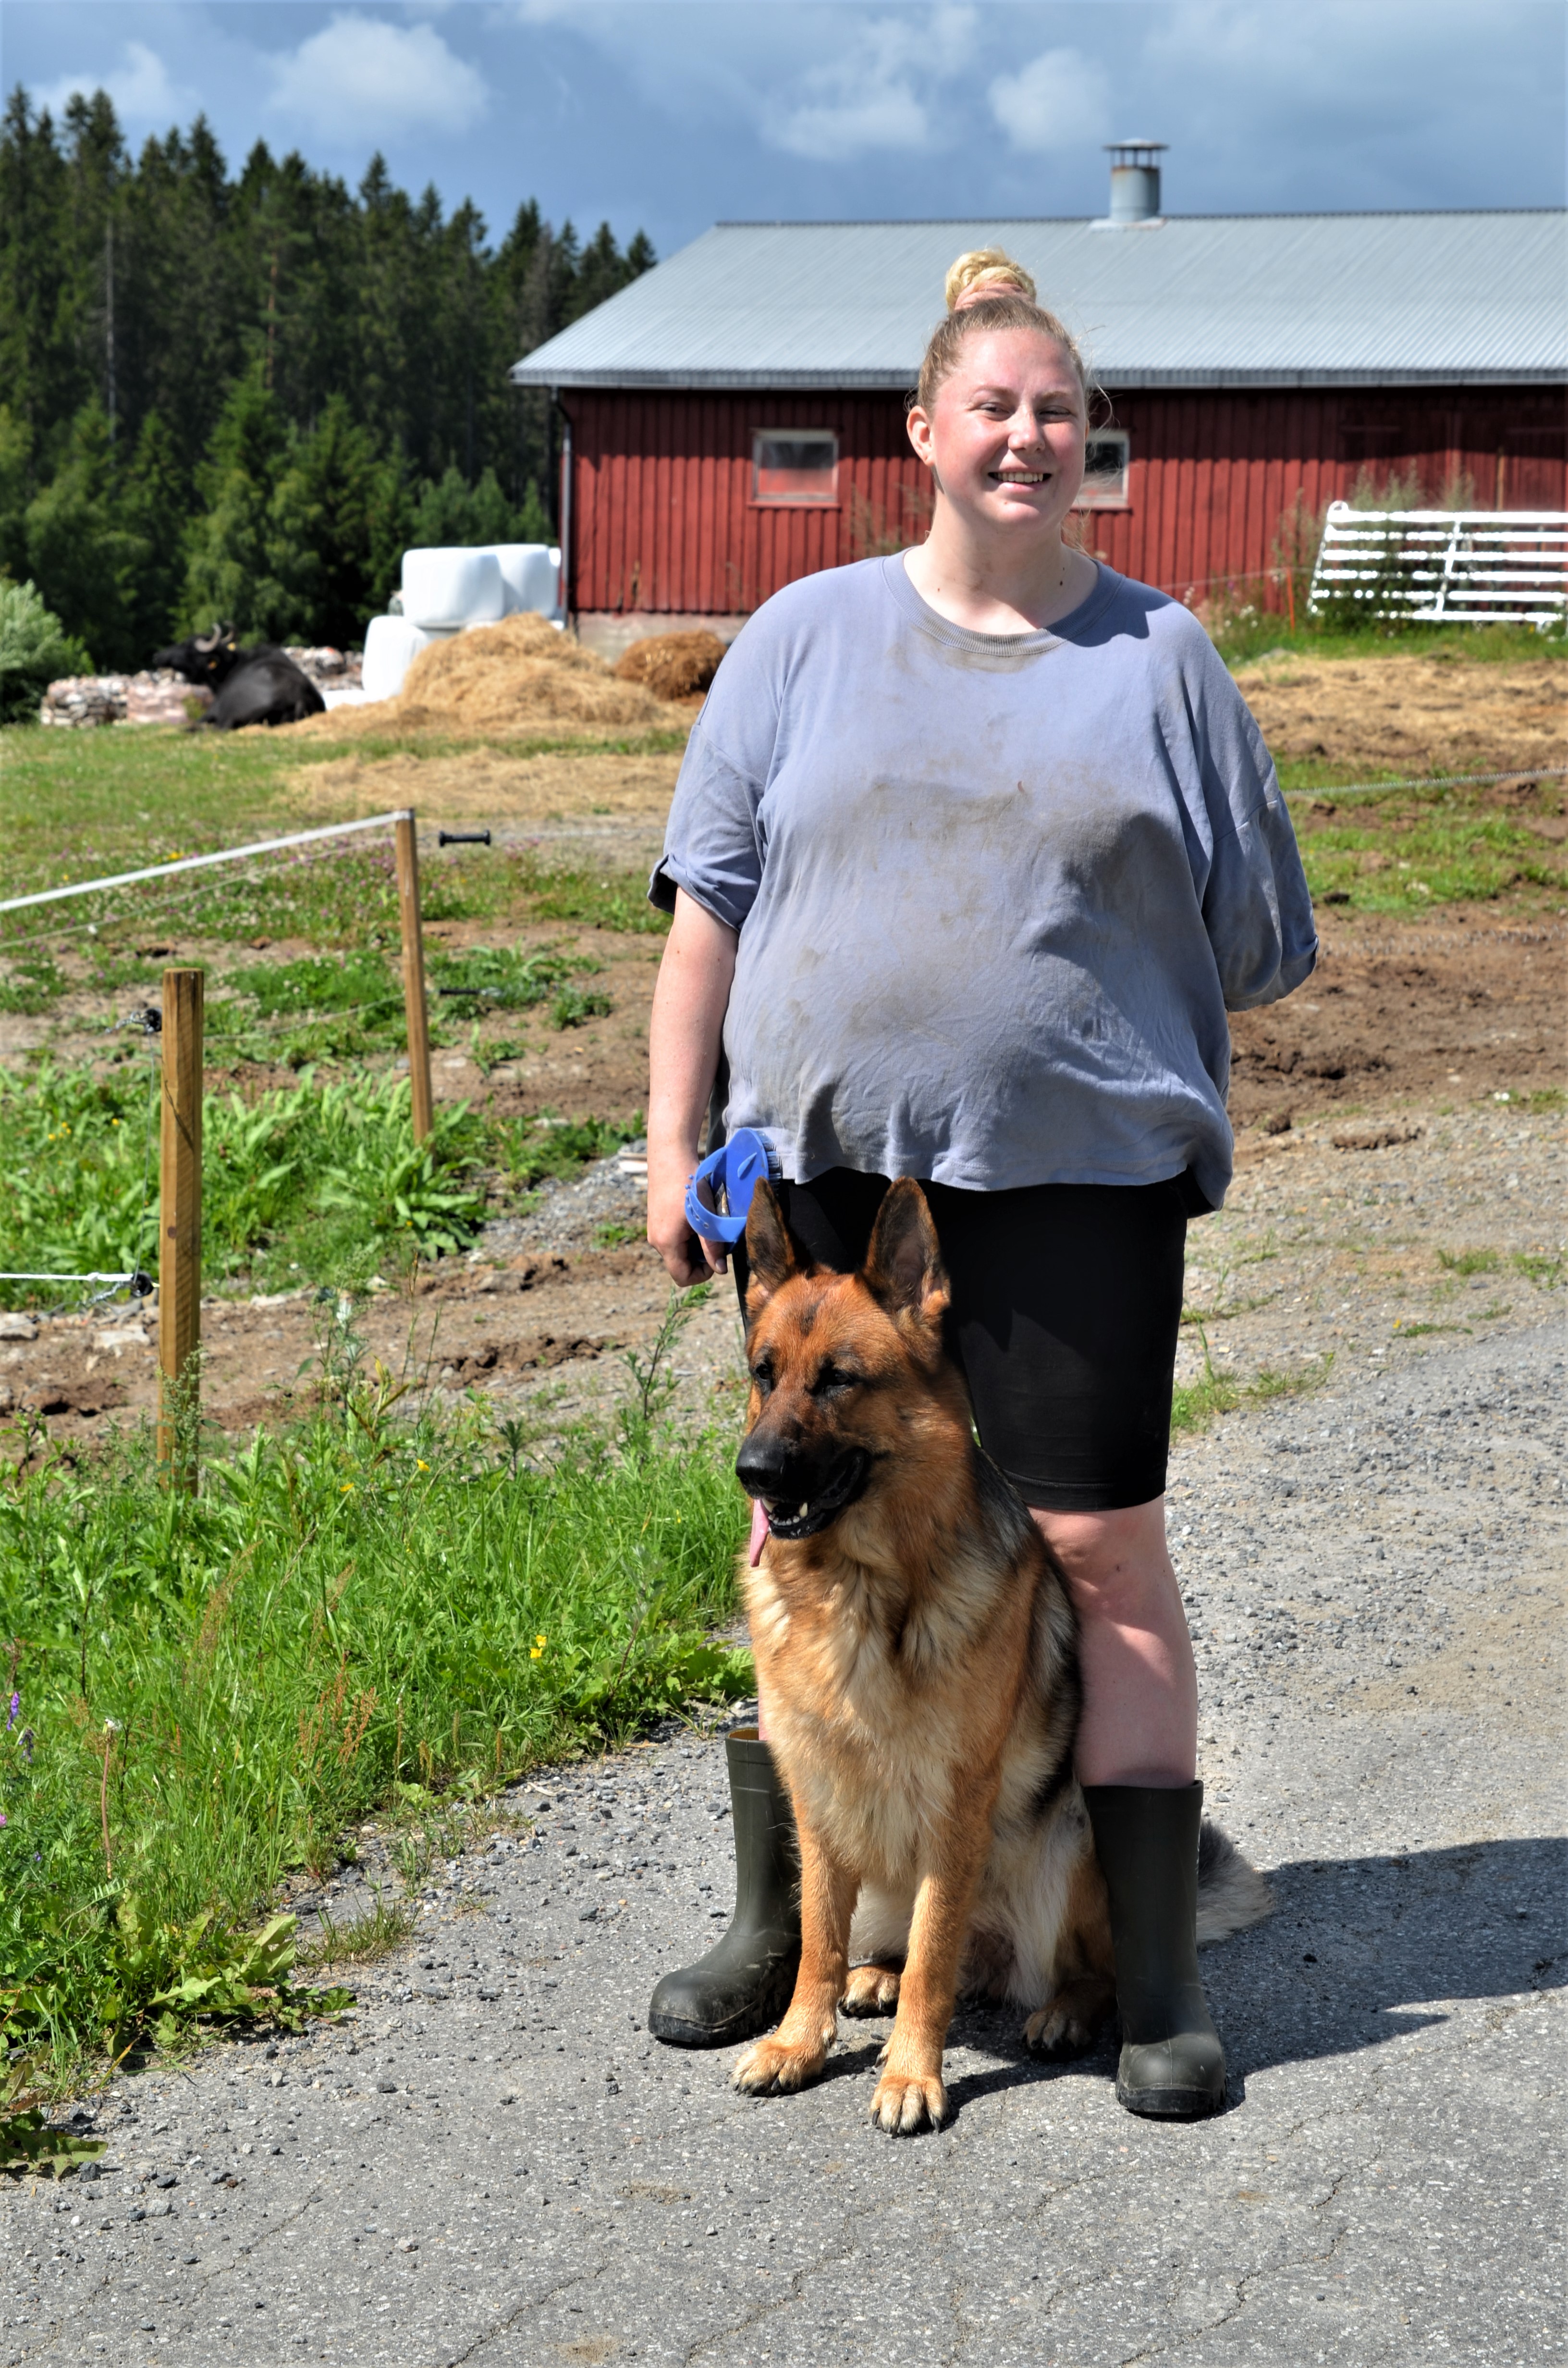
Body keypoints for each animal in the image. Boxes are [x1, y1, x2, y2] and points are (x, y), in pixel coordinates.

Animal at [729, 1179, 1269, 2131]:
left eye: (839, 1378)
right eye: (765, 1372)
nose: (751, 1471)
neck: (859, 1591)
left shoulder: (957, 1800)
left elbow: (934, 1955)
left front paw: (910, 2074)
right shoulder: (815, 1793)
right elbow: (818, 1941)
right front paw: (799, 2042)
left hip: (1071, 1842)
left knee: (1088, 1968)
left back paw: (1061, 2011)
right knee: (896, 1946)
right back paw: (876, 1976)